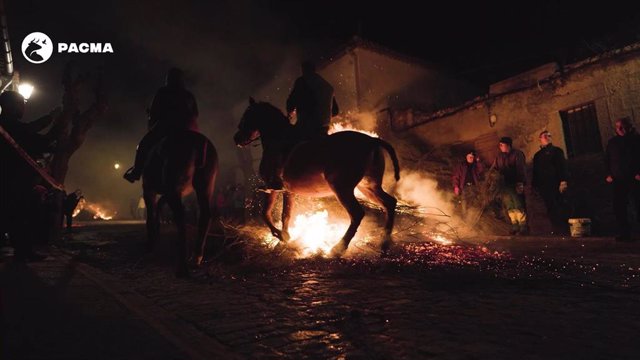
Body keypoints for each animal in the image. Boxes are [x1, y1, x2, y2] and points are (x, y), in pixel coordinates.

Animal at [141, 131, 219, 278]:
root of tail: (198, 141)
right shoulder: (169, 192)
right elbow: (159, 206)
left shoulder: (149, 190)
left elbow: (150, 216)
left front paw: (150, 243)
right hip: (204, 185)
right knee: (205, 215)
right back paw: (196, 258)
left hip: (174, 188)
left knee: (181, 219)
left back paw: (182, 267)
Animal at [232, 98, 398, 256]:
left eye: (246, 116)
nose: (236, 139)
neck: (278, 139)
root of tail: (372, 140)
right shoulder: (287, 191)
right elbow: (286, 215)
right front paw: (283, 240)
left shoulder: (272, 188)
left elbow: (265, 213)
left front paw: (280, 235)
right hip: (368, 186)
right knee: (390, 203)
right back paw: (384, 245)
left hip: (342, 188)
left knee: (357, 214)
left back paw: (338, 248)